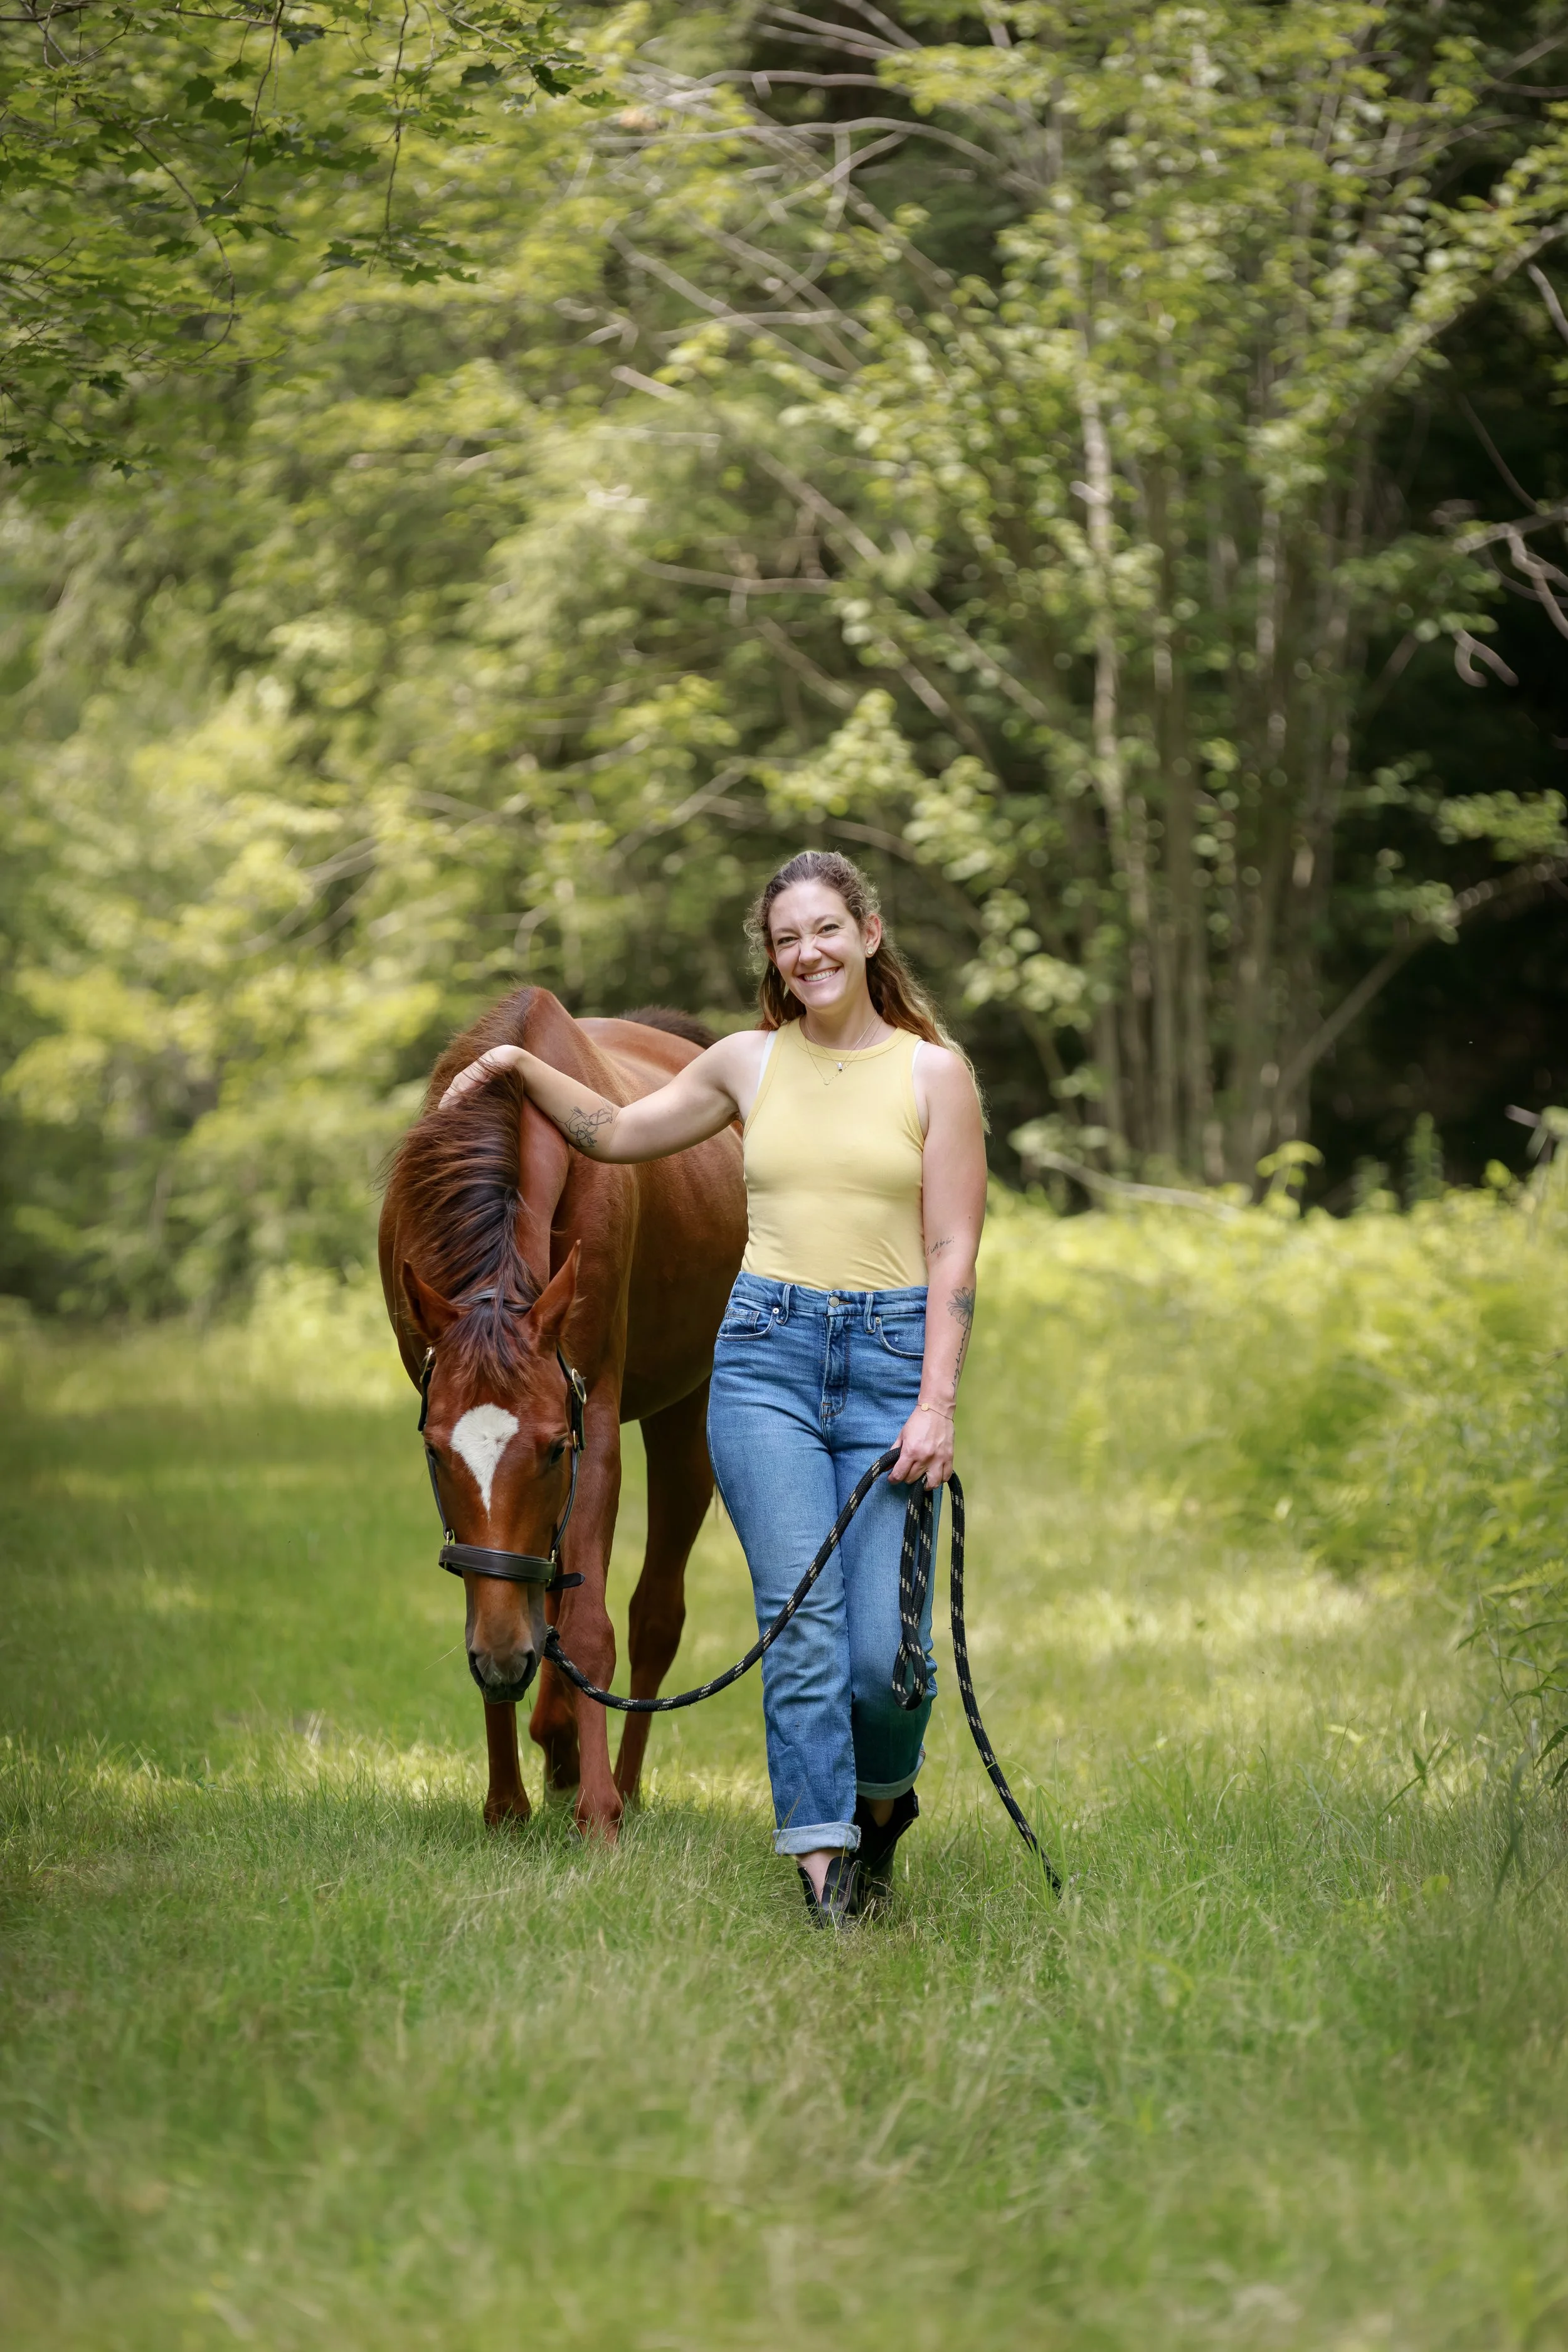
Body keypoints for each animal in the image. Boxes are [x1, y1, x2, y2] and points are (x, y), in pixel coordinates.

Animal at [379, 987, 747, 1837]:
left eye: (551, 1450)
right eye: (436, 1453)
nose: (501, 1661)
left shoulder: (592, 1421)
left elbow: (590, 1624)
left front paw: (599, 1813)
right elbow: (495, 1585)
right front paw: (506, 1801)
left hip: (687, 1420)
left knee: (654, 1614)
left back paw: (620, 1779)